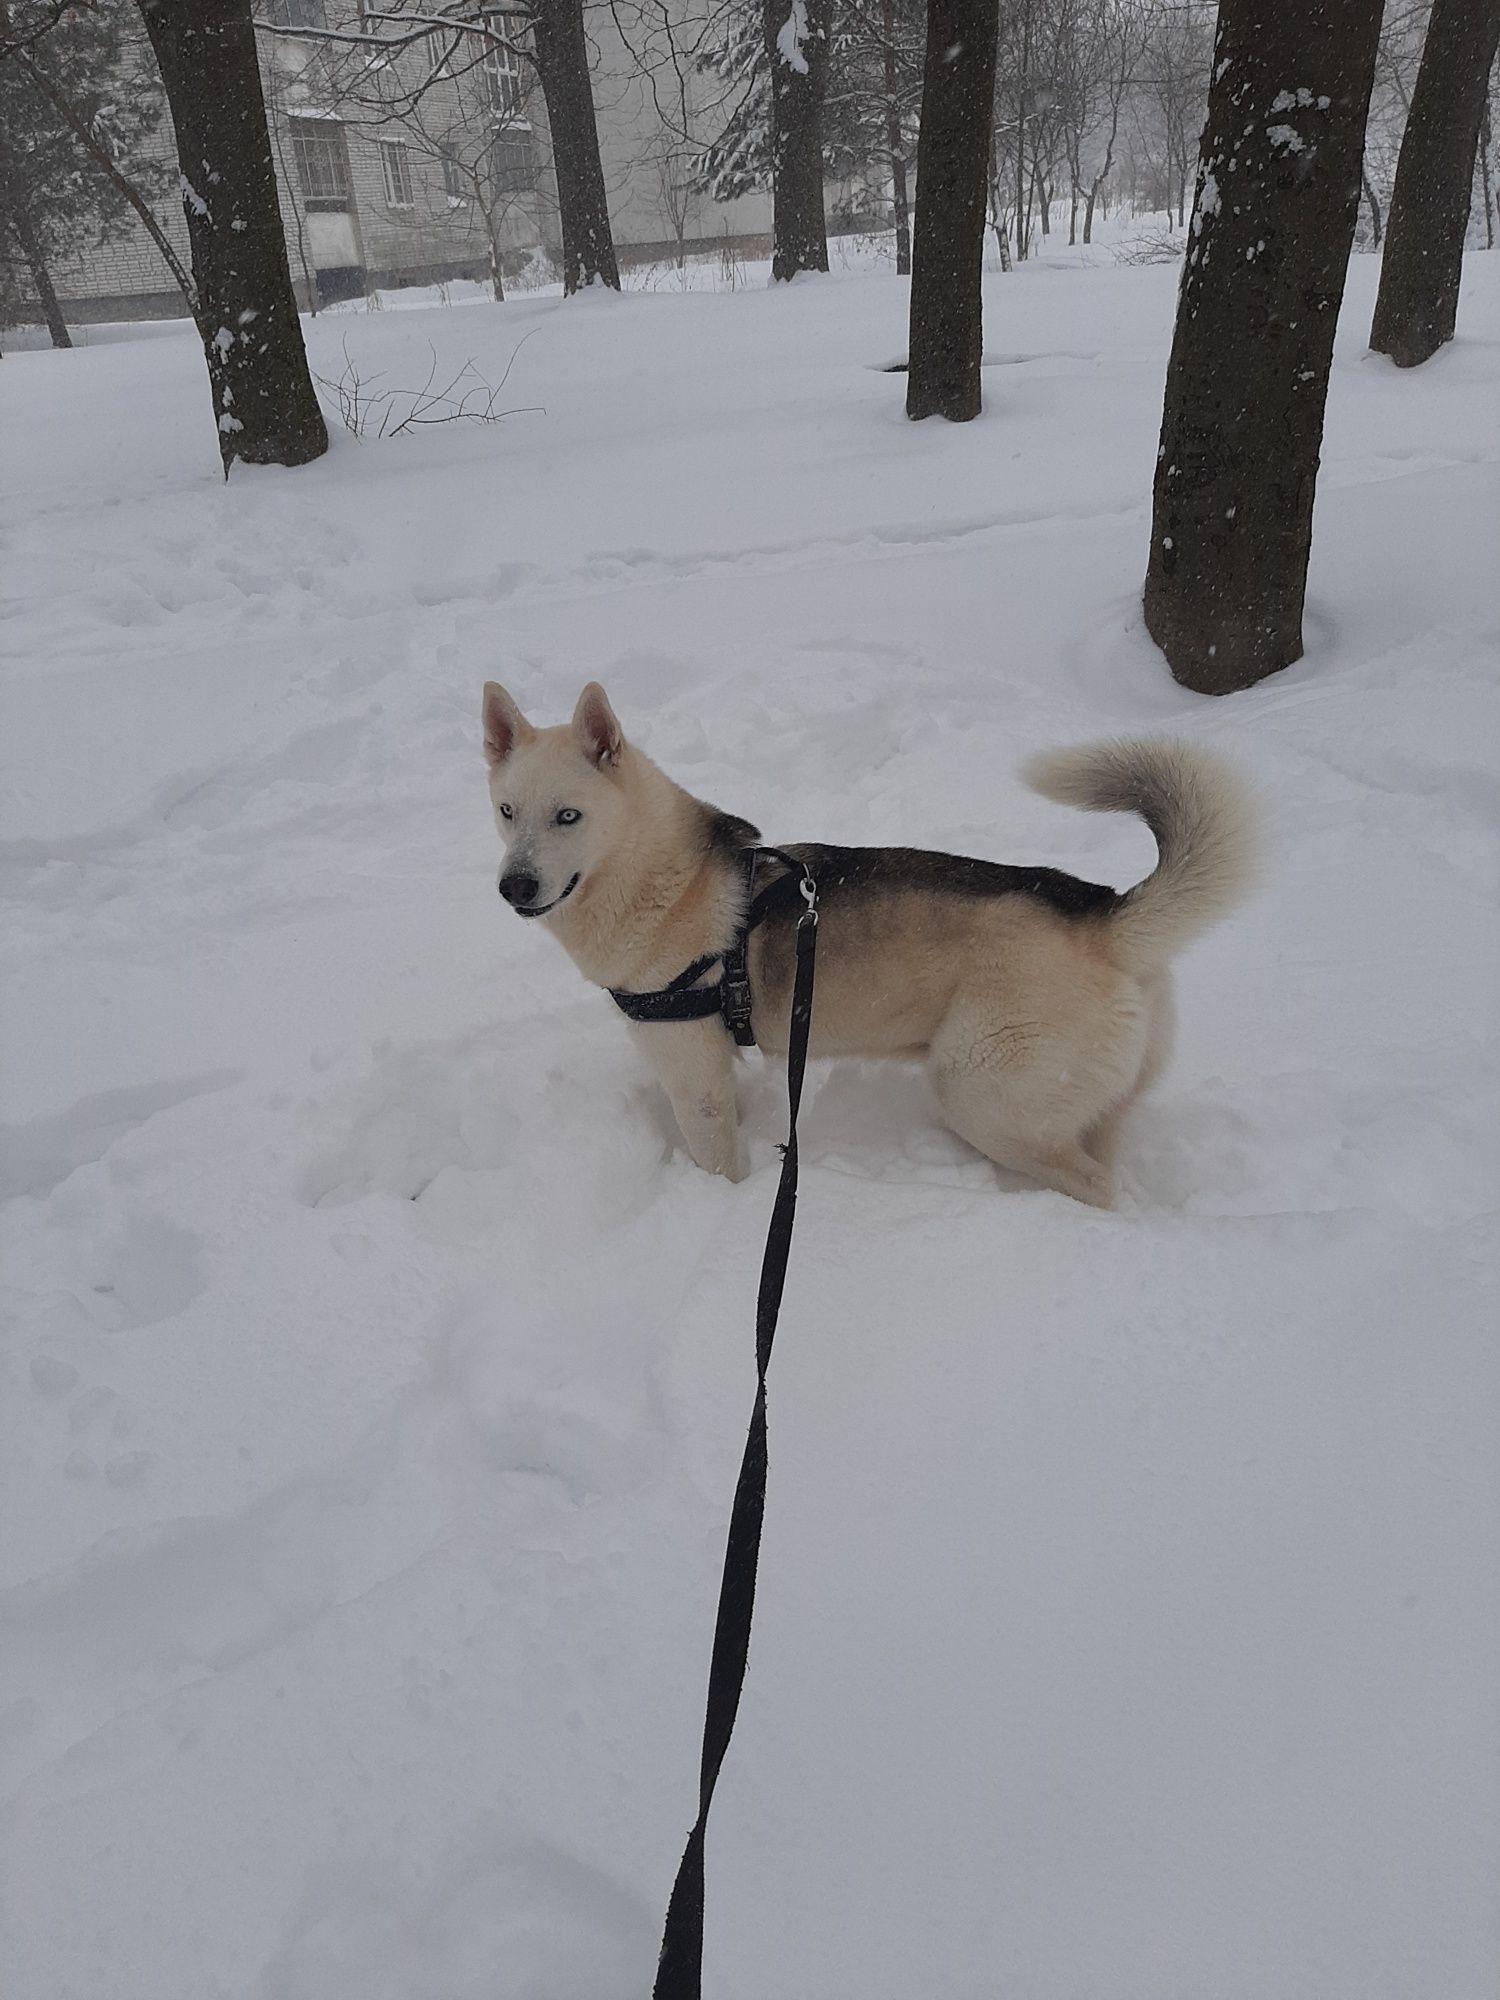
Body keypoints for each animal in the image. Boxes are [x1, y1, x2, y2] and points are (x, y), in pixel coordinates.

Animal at [484, 680, 1256, 1208]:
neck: (655, 877)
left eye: (568, 816)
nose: (513, 886)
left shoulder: (696, 1085)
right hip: (1080, 1100)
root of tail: (1105, 915)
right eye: (507, 811)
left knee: (1094, 1186)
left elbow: (717, 1163)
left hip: (980, 1094)